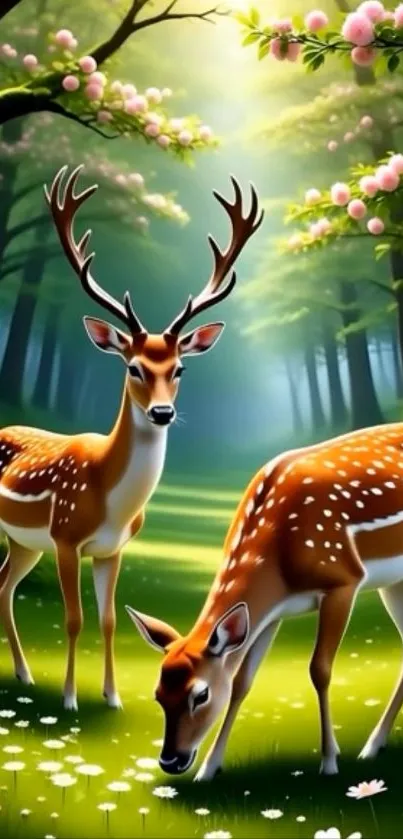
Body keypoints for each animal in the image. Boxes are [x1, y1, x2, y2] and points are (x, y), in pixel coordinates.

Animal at [0, 164, 263, 711]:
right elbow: (74, 619)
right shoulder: (65, 537)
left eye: (180, 367)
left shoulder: (112, 548)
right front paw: (71, 699)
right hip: (31, 538)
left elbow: (107, 619)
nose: (163, 412)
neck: (110, 499)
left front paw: (113, 697)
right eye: (134, 367)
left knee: (3, 586)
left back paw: (24, 674)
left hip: (22, 540)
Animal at [128, 423, 403, 778]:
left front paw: (330, 761)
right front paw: (209, 769)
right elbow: (242, 681)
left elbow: (320, 670)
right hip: (394, 582)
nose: (170, 761)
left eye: (201, 694)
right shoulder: (272, 614)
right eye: (158, 694)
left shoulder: (343, 580)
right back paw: (373, 746)